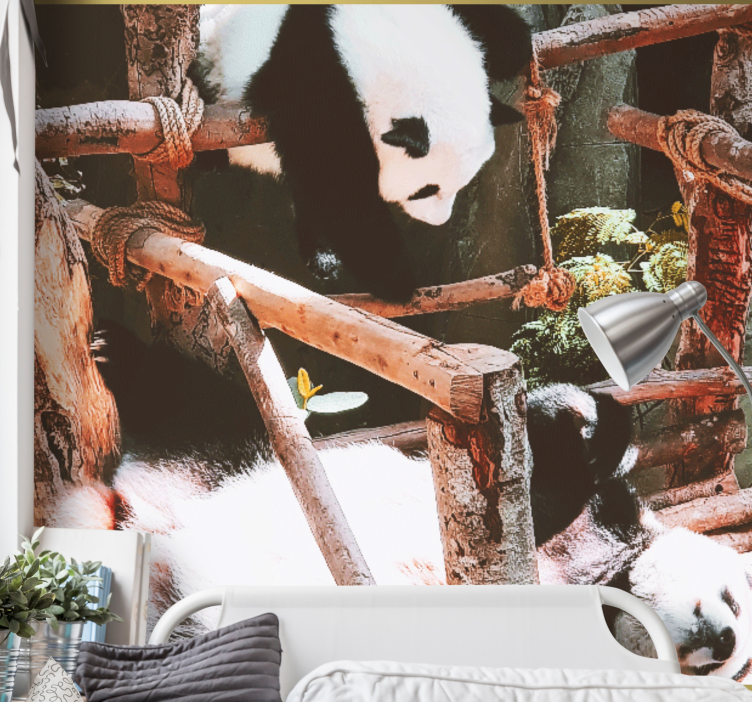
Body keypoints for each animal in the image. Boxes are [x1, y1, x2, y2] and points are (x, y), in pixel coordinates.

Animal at [189, 5, 533, 302]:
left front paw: (515, 43)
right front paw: (396, 280)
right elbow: (340, 189)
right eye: (425, 190)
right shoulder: (314, 83)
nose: (439, 221)